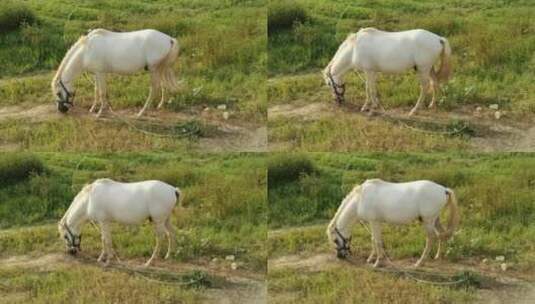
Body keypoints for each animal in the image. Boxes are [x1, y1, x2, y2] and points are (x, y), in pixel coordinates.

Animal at [53, 28, 181, 117]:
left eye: (58, 93)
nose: (61, 110)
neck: (86, 51)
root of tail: (169, 39)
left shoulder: (100, 73)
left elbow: (102, 92)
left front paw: (100, 113)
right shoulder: (96, 74)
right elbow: (96, 91)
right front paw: (93, 109)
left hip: (154, 69)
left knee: (154, 89)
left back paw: (141, 112)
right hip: (160, 68)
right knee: (163, 85)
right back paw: (159, 105)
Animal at [322, 27, 452, 116]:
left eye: (329, 84)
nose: (337, 101)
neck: (354, 49)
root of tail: (438, 38)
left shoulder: (368, 71)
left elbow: (369, 89)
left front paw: (370, 108)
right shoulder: (372, 72)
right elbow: (370, 88)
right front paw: (371, 106)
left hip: (423, 69)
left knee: (425, 87)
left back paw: (414, 110)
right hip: (429, 68)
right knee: (434, 83)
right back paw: (432, 105)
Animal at [326, 179, 460, 268]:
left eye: (335, 240)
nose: (340, 256)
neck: (360, 200)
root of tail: (444, 190)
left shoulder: (374, 222)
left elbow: (377, 241)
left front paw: (377, 262)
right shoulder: (374, 223)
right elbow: (373, 239)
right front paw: (370, 259)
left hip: (428, 221)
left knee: (431, 239)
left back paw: (419, 263)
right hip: (435, 220)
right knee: (441, 235)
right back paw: (438, 256)